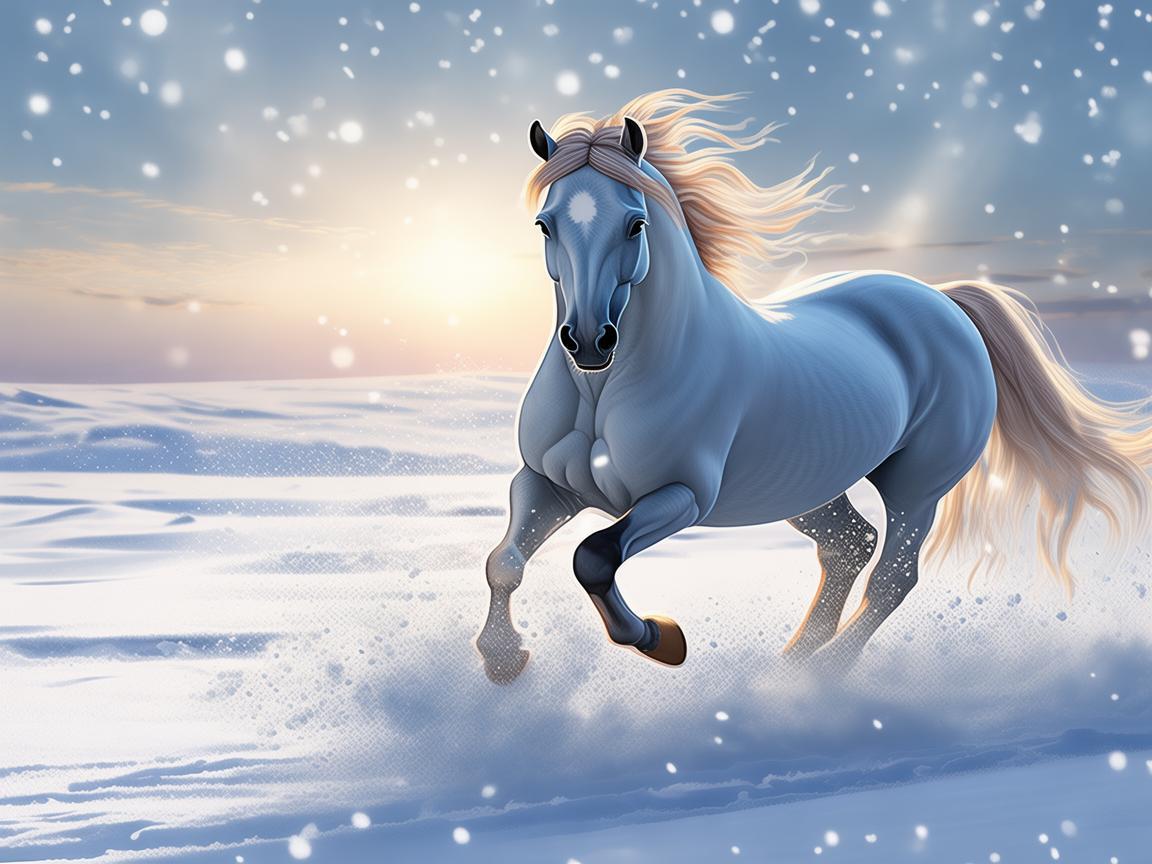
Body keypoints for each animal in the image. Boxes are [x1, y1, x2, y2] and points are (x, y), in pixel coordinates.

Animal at [475, 89, 1152, 684]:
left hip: (917, 486)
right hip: (807, 486)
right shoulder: (544, 483)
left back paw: (818, 678)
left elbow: (593, 556)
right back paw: (791, 662)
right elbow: (504, 561)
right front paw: (503, 659)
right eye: (545, 225)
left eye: (635, 225)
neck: (604, 392)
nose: (590, 341)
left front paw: (661, 639)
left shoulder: (682, 496)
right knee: (850, 546)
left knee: (892, 575)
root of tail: (944, 301)